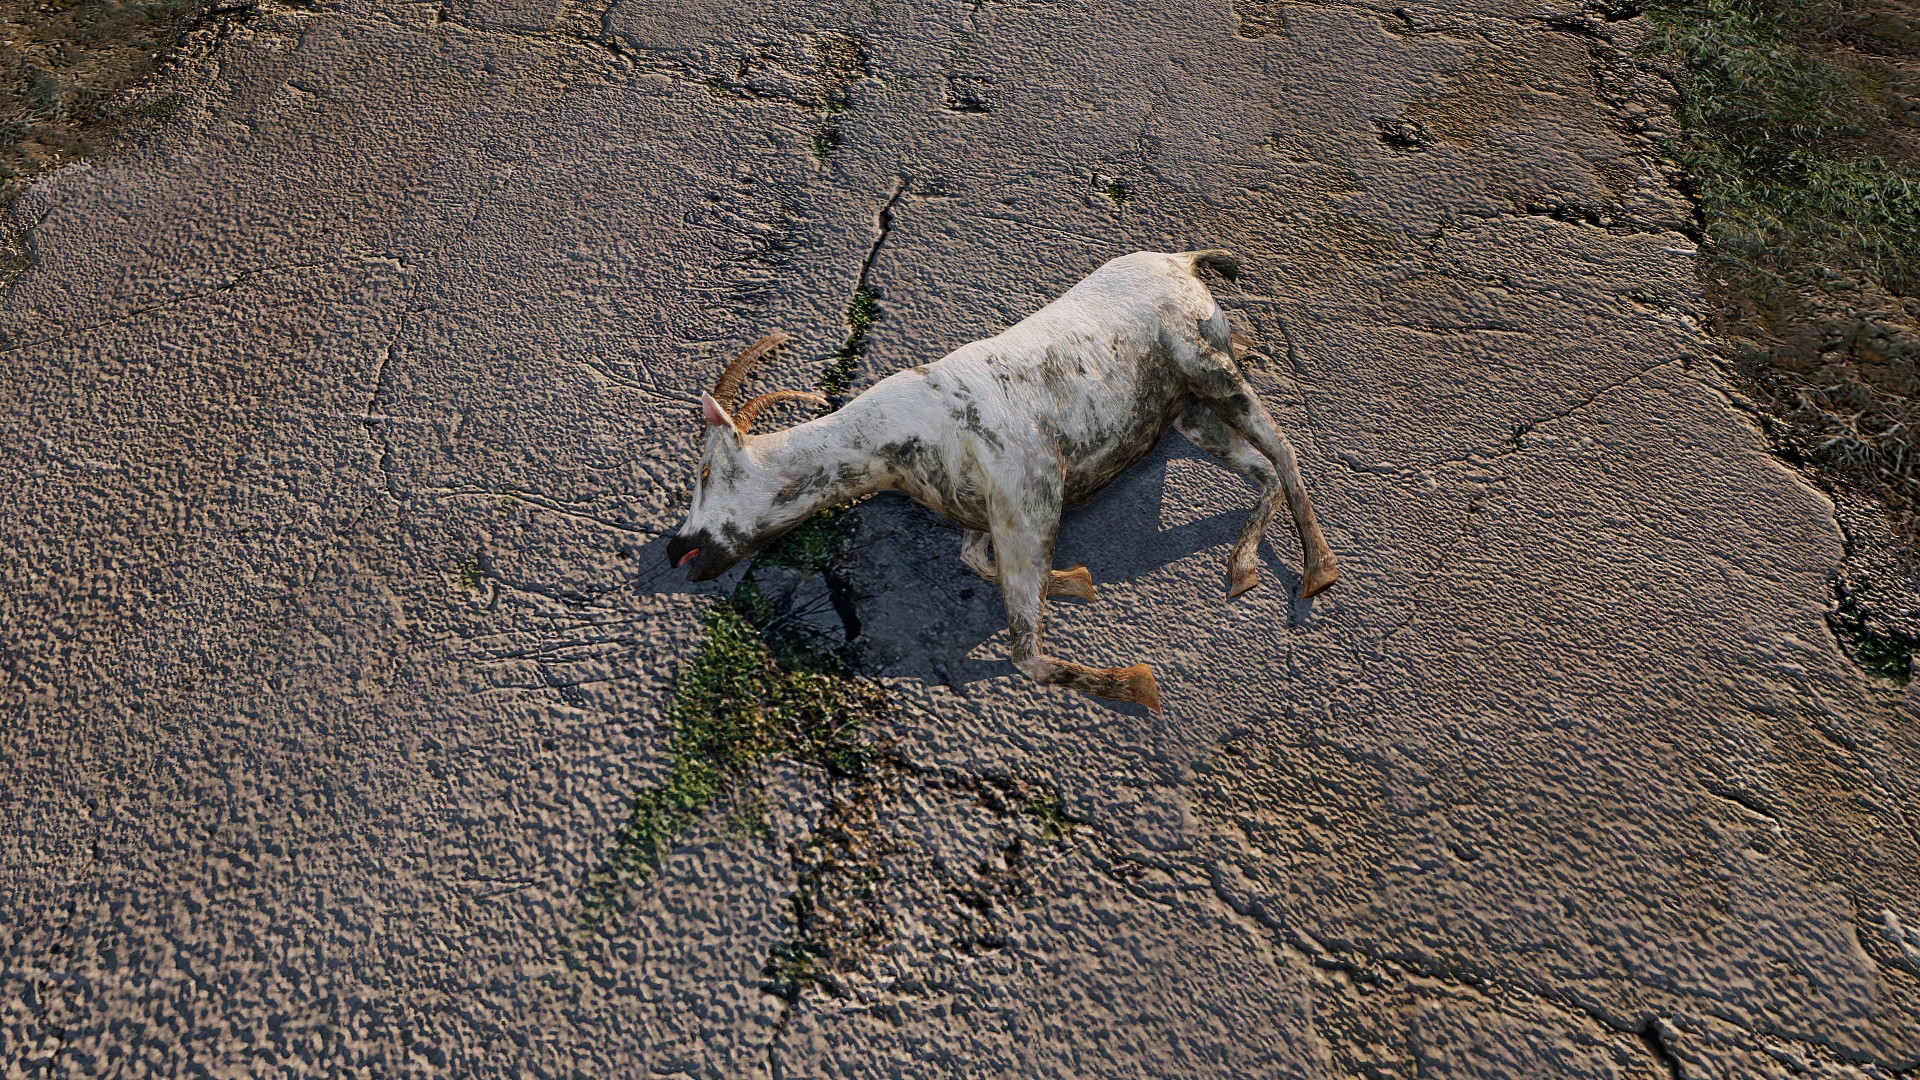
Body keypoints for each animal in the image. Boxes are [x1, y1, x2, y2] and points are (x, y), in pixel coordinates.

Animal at [665, 250, 1339, 712]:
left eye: (705, 471)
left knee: (1285, 453)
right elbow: (976, 561)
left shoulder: (1033, 494)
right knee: (1261, 471)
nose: (676, 548)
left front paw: (1137, 683)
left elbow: (1024, 655)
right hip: (1187, 413)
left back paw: (1318, 572)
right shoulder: (983, 516)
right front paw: (1074, 581)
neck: (908, 428)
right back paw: (1242, 568)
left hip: (1214, 371)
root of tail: (1182, 260)